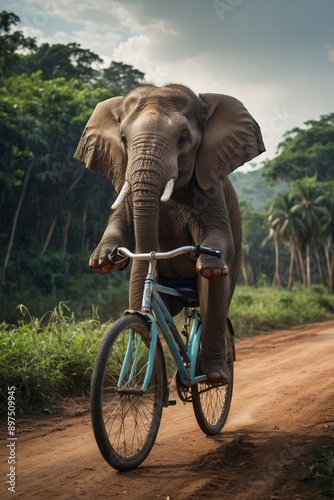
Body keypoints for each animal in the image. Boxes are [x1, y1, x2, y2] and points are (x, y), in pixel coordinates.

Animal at [74, 85, 264, 382]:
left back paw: (213, 374)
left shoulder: (210, 184)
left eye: (183, 139)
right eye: (123, 138)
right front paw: (103, 259)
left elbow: (217, 234)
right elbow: (120, 222)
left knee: (214, 294)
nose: (149, 252)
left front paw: (209, 261)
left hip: (234, 267)